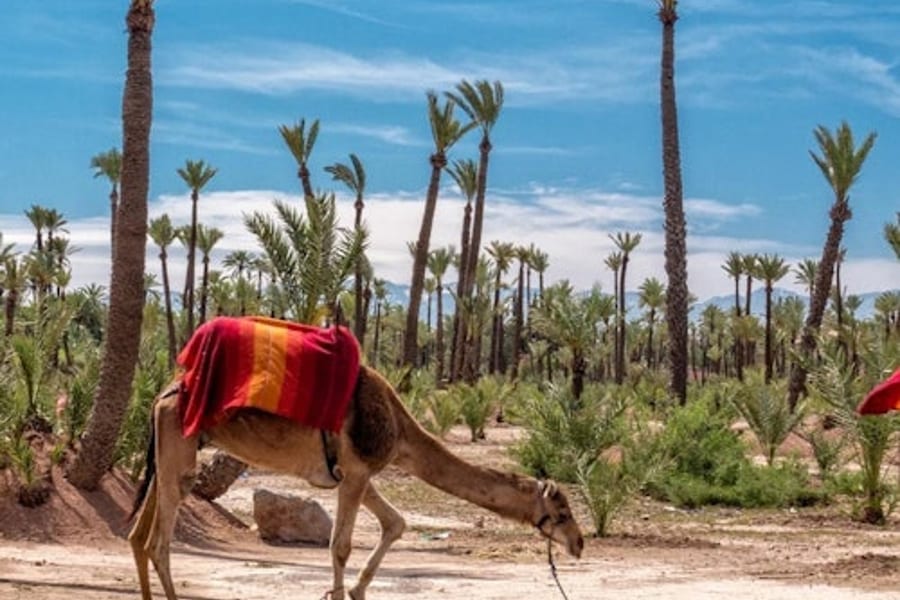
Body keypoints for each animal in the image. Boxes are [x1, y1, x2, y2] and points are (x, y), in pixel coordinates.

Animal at [128, 364, 584, 600]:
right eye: (562, 511)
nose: (579, 543)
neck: (400, 430)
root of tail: (163, 393)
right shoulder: (358, 471)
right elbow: (341, 545)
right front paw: (339, 590)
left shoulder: (357, 474)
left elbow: (395, 522)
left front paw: (355, 590)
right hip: (179, 449)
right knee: (159, 543)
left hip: (169, 453)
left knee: (137, 536)